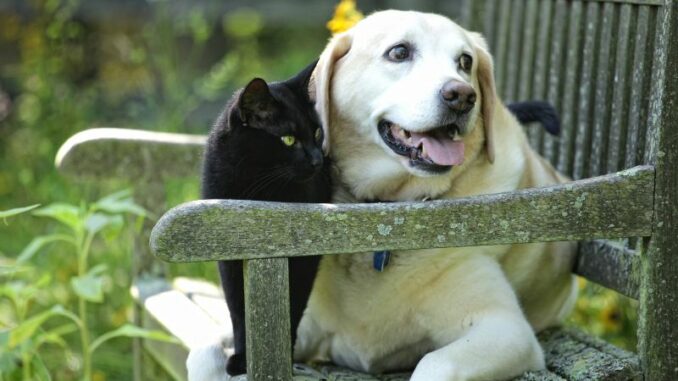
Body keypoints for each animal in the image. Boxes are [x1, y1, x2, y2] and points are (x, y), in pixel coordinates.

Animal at [201, 60, 330, 376]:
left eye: (316, 133)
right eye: (288, 139)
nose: (318, 160)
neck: (255, 189)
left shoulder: (305, 257)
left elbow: (292, 305)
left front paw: (280, 356)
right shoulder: (229, 256)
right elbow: (238, 309)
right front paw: (242, 358)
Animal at [294, 10, 576, 378]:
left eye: (465, 61)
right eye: (399, 52)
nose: (462, 95)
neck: (389, 211)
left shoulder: (505, 329)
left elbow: (435, 362)